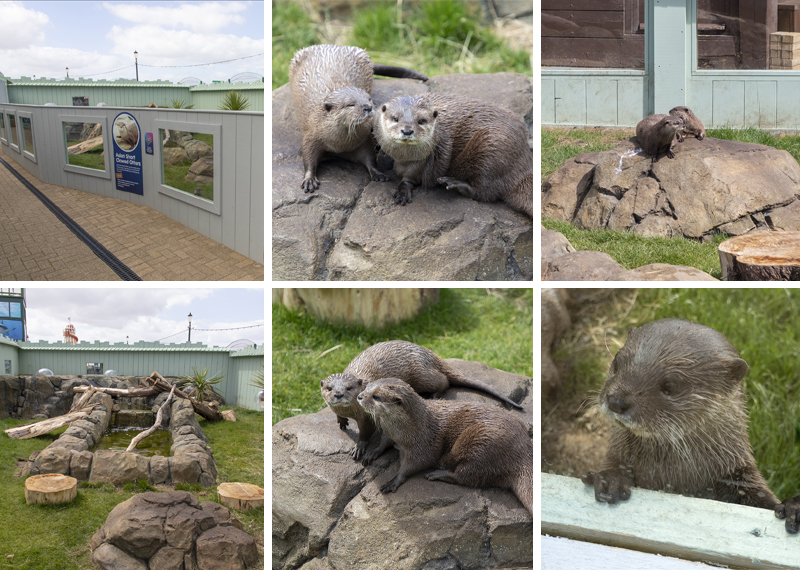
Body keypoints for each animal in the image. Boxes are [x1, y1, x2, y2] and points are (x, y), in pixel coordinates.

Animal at [289, 44, 427, 193]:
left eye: (369, 99)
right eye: (350, 104)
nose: (368, 107)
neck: (340, 145)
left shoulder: (364, 139)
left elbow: (369, 157)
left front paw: (377, 173)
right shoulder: (312, 135)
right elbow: (308, 157)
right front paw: (309, 179)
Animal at [320, 340, 523, 463]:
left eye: (349, 388)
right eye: (329, 388)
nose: (338, 394)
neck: (351, 412)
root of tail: (429, 354)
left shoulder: (367, 417)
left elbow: (365, 432)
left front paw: (359, 447)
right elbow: (338, 415)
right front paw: (341, 422)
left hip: (421, 374)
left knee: (444, 380)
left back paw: (433, 395)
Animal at [357, 378, 532, 515]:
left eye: (376, 396)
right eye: (366, 387)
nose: (359, 396)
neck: (407, 430)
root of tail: (524, 453)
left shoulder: (423, 445)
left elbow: (415, 464)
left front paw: (394, 480)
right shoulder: (388, 432)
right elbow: (384, 442)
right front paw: (372, 452)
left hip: (482, 444)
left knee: (467, 476)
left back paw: (438, 474)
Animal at [373, 93, 532, 217]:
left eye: (421, 121)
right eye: (395, 118)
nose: (407, 130)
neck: (403, 157)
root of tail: (524, 164)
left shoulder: (424, 159)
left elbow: (412, 177)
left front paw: (404, 189)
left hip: (492, 147)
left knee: (486, 191)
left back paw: (454, 183)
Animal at [581, 318, 800, 533]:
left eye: (670, 384)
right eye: (617, 362)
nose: (616, 401)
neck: (674, 476)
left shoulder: (739, 475)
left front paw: (793, 507)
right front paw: (612, 480)